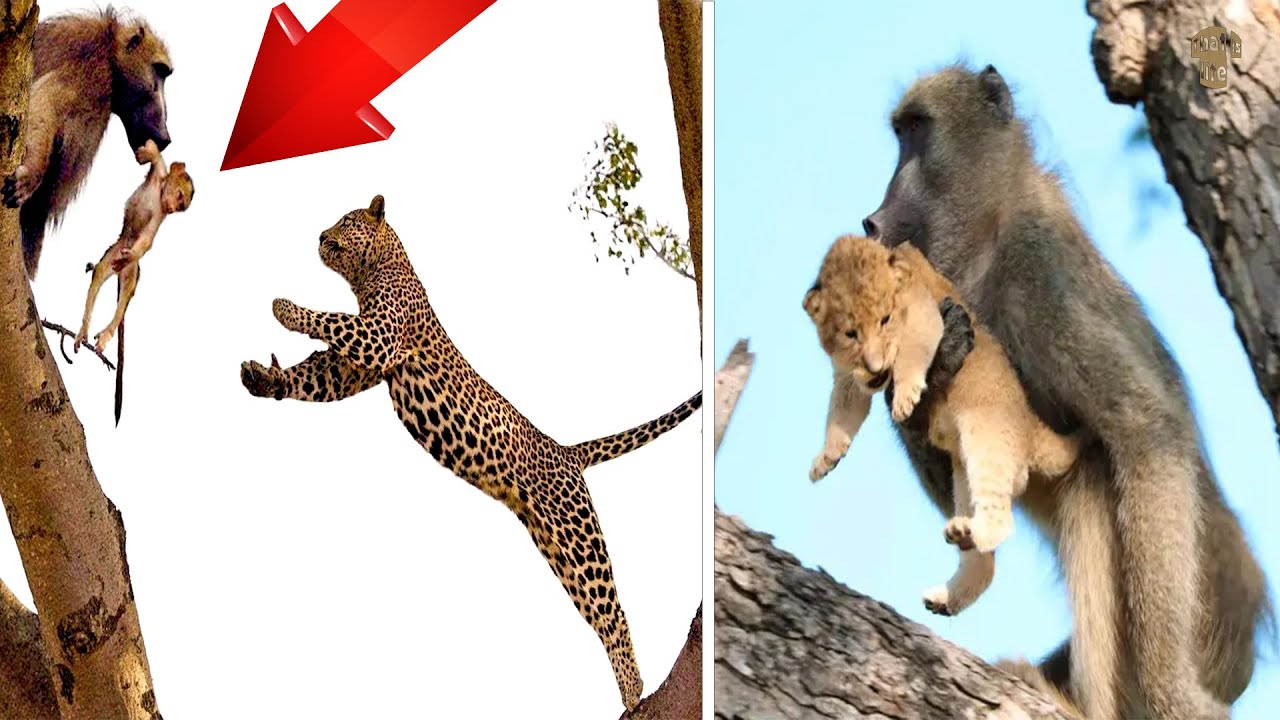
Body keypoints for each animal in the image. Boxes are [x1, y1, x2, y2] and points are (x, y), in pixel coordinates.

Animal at [1, 7, 173, 278]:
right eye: (159, 70)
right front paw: (30, 175)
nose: (165, 137)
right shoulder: (91, 74)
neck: (110, 51)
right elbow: (45, 103)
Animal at [73, 139, 192, 355]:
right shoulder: (159, 170)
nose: (173, 208)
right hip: (116, 250)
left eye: (181, 208)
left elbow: (147, 239)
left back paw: (107, 333)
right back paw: (84, 328)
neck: (159, 189)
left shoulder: (160, 214)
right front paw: (149, 151)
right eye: (180, 196)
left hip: (128, 264)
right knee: (99, 273)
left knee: (127, 285)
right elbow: (157, 158)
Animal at [804, 234, 1079, 617]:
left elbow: (913, 352)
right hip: (962, 478)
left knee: (1001, 520)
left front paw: (906, 397)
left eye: (886, 320)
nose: (875, 368)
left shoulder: (925, 314)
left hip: (986, 440)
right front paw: (826, 458)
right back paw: (947, 591)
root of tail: (1030, 423)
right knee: (984, 563)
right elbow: (842, 410)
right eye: (850, 333)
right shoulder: (848, 376)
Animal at [862, 63, 1270, 719]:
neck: (989, 231)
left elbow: (1147, 428)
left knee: (1098, 475)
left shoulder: (1041, 270)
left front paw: (1169, 696)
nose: (872, 220)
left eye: (916, 131)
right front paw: (936, 363)